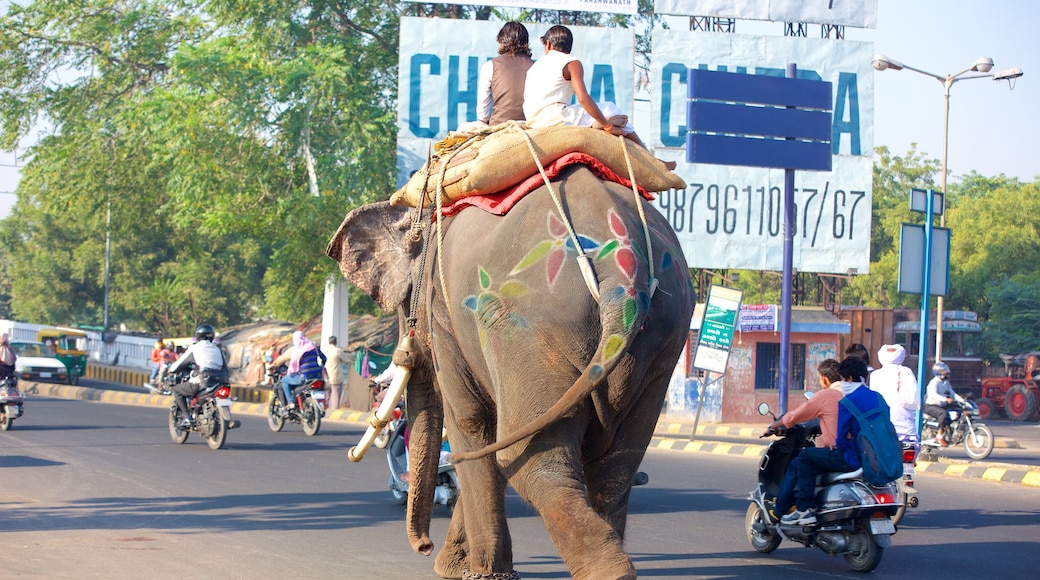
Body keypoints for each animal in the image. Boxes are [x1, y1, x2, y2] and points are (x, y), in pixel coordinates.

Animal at [328, 165, 694, 580]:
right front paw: (457, 566)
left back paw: (608, 571)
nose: (423, 547)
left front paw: (469, 572)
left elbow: (472, 425)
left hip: (524, 332)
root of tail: (622, 271)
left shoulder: (444, 315)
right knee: (617, 460)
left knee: (528, 454)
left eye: (407, 309)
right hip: (660, 344)